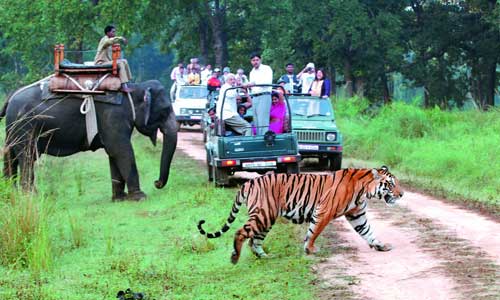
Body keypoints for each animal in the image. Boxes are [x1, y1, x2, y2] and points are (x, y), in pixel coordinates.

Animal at [0, 79, 178, 200]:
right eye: (165, 111)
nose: (156, 183)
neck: (133, 88)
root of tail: (11, 97)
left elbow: (113, 153)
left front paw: (119, 199)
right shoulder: (113, 115)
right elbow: (121, 150)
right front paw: (140, 197)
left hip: (13, 128)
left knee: (11, 156)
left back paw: (11, 194)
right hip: (25, 125)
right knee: (27, 156)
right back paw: (30, 196)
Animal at [197, 166, 404, 264]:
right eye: (391, 184)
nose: (402, 194)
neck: (364, 190)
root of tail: (249, 182)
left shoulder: (357, 215)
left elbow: (367, 231)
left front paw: (380, 246)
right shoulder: (324, 212)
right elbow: (314, 231)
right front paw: (310, 249)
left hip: (266, 218)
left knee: (254, 240)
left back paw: (264, 257)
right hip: (263, 215)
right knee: (241, 233)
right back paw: (234, 257)